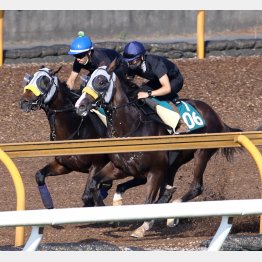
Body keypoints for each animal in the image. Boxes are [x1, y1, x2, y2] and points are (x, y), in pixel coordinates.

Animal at [74, 59, 243, 239]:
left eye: (101, 81)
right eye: (86, 80)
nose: (80, 105)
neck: (131, 126)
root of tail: (215, 115)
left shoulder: (155, 171)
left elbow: (148, 201)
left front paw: (142, 227)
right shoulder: (121, 168)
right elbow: (95, 183)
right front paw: (112, 216)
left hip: (201, 154)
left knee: (196, 186)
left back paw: (171, 215)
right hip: (173, 165)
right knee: (168, 188)